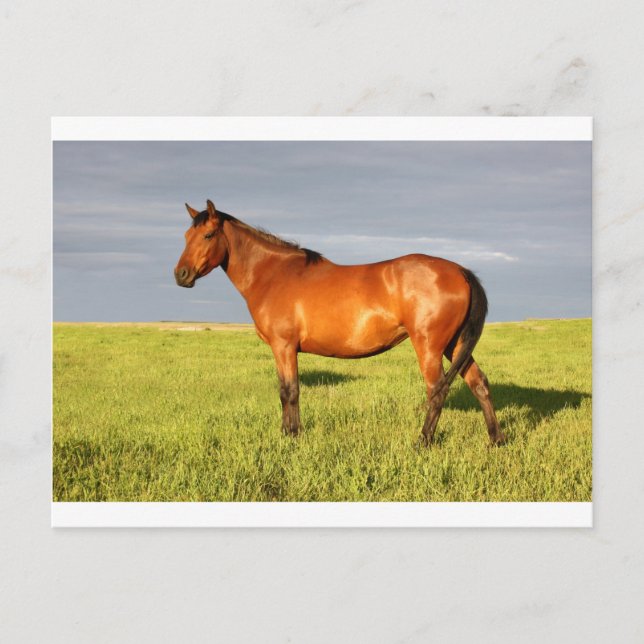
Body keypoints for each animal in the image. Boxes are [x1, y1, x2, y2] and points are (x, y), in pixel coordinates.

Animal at [174, 200, 505, 446]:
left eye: (207, 236)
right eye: (186, 238)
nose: (181, 275)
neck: (273, 274)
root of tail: (460, 271)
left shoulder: (284, 347)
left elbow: (289, 391)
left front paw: (292, 437)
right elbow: (286, 390)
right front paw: (288, 434)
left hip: (430, 346)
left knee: (436, 390)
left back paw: (422, 442)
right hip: (455, 345)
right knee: (479, 383)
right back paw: (496, 440)